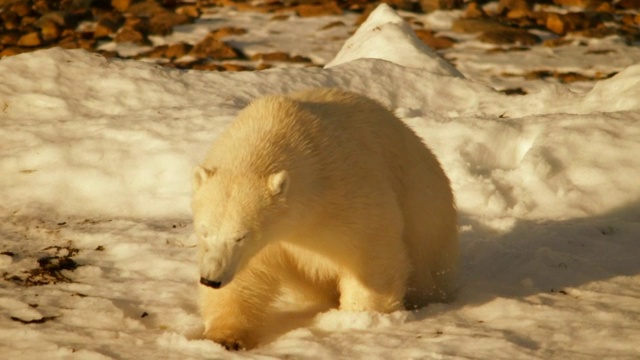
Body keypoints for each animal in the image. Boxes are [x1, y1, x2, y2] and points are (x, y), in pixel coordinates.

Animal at [192, 88, 458, 350]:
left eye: (241, 236)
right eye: (204, 231)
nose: (210, 279)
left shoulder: (343, 190)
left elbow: (370, 250)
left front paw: (361, 317)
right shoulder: (272, 240)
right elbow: (246, 276)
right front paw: (225, 337)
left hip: (428, 218)